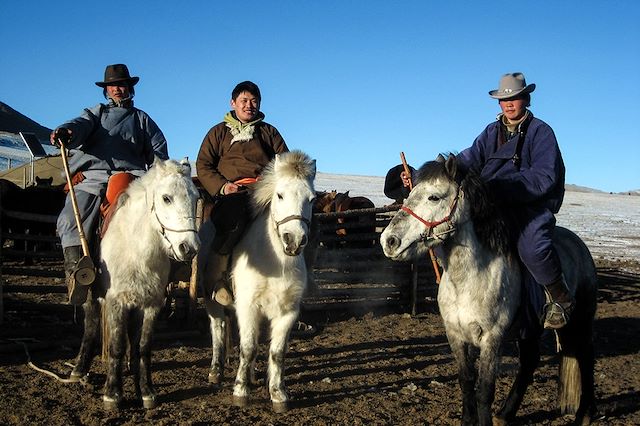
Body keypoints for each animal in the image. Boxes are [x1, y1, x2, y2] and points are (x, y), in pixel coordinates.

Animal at [201, 151, 316, 412]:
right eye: (280, 195)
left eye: (312, 199)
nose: (294, 240)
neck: (275, 262)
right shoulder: (247, 307)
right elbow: (248, 348)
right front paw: (240, 391)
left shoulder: (288, 312)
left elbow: (277, 352)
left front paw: (278, 393)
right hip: (212, 301)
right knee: (217, 329)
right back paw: (216, 371)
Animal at [380, 154, 596, 426]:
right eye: (409, 194)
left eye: (434, 197)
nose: (388, 241)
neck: (470, 278)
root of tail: (580, 246)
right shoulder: (455, 334)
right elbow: (466, 381)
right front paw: (467, 419)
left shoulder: (492, 338)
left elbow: (484, 389)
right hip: (530, 328)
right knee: (530, 361)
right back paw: (505, 414)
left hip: (581, 322)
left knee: (585, 358)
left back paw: (584, 414)